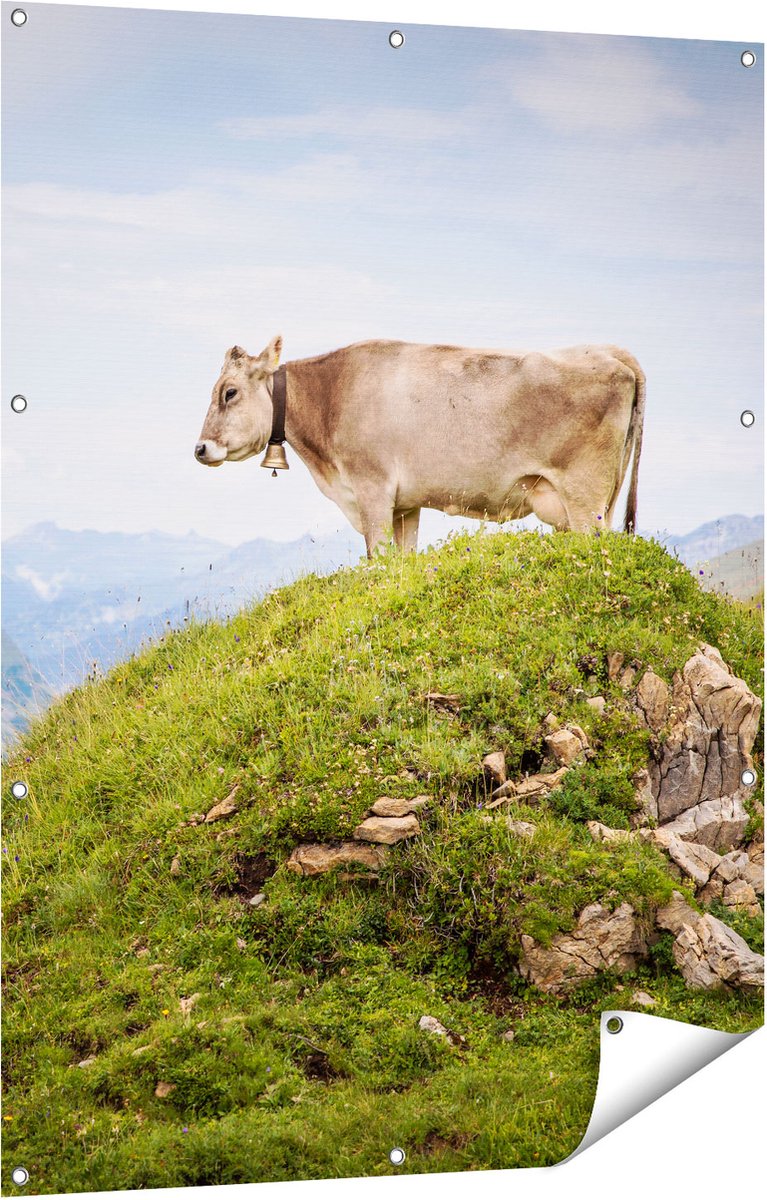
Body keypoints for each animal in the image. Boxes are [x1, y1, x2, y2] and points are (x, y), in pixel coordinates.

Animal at [194, 336, 645, 557]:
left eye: (229, 392)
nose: (200, 449)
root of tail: (611, 352)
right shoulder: (405, 504)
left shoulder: (372, 490)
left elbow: (377, 559)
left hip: (586, 497)